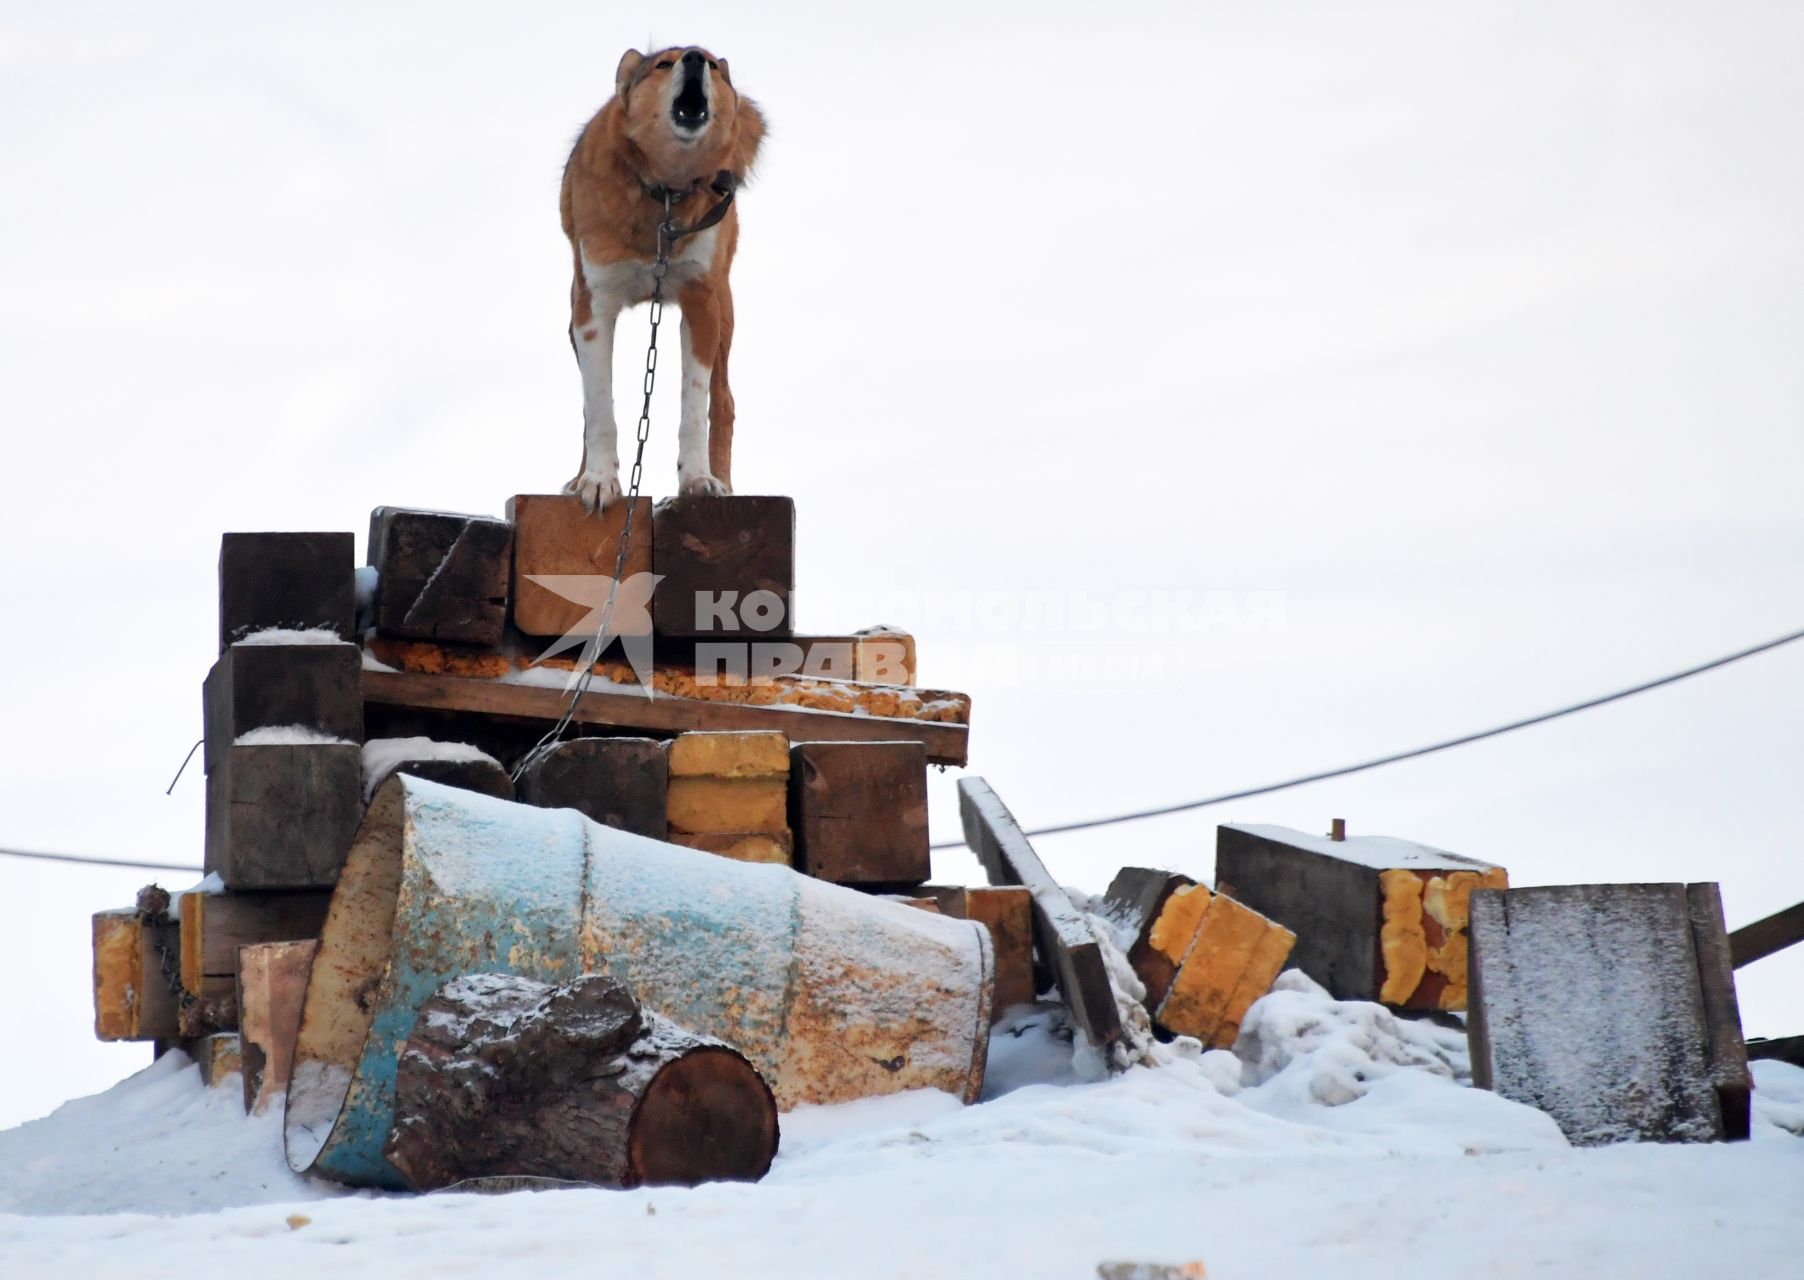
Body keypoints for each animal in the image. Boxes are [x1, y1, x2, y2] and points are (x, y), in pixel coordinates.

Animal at [559, 48, 764, 512]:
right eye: (664, 64)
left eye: (712, 64)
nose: (694, 57)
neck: (666, 192)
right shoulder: (593, 306)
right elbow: (598, 407)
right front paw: (597, 481)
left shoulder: (701, 303)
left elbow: (694, 404)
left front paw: (699, 479)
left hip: (724, 311)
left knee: (723, 401)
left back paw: (724, 481)